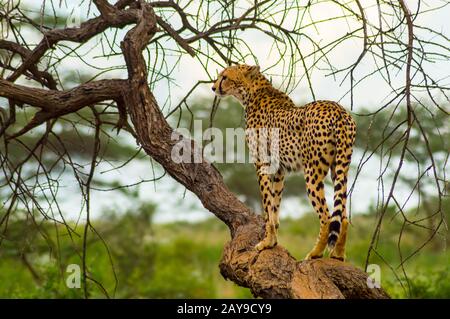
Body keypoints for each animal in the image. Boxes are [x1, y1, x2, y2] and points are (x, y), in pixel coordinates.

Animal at [213, 63, 356, 262]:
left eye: (224, 77)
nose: (213, 87)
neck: (252, 92)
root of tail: (338, 109)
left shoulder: (262, 165)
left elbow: (267, 206)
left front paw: (266, 242)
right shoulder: (279, 170)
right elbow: (275, 206)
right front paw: (272, 241)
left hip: (312, 172)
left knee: (327, 216)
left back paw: (316, 253)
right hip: (339, 168)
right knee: (343, 215)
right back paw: (338, 255)